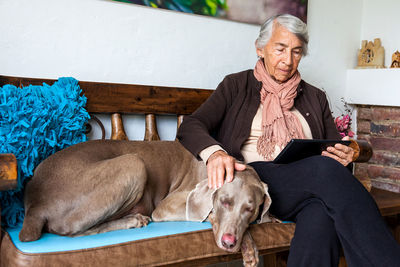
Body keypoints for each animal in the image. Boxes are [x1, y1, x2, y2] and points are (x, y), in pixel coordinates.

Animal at [20, 141, 274, 266]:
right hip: (133, 164)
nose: (229, 242)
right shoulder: (166, 206)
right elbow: (207, 214)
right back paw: (133, 220)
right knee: (72, 229)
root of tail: (34, 204)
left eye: (250, 209)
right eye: (223, 201)